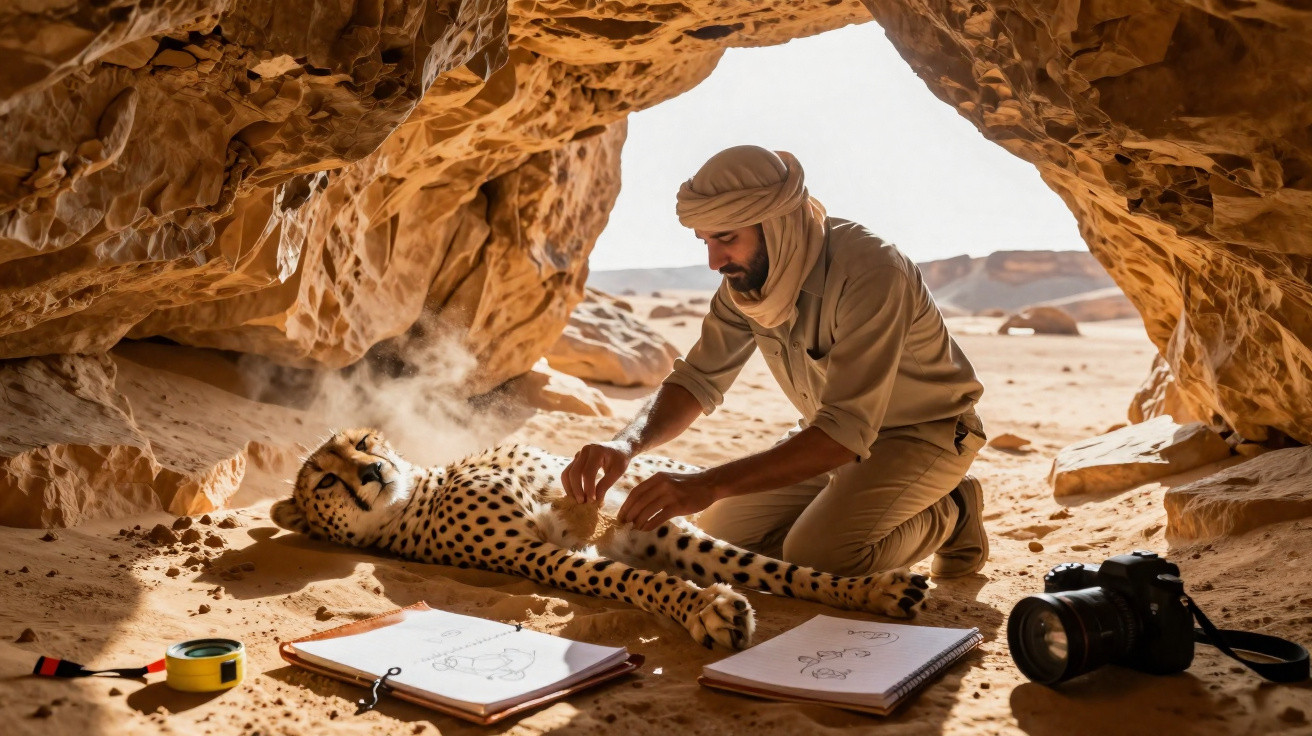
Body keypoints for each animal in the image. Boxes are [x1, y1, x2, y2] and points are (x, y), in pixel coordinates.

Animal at [271, 428, 930, 649]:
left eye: (365, 443)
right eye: (325, 478)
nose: (373, 472)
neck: (416, 496)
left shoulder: (654, 524)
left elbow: (773, 568)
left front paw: (872, 590)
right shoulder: (544, 555)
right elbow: (635, 580)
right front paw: (706, 609)